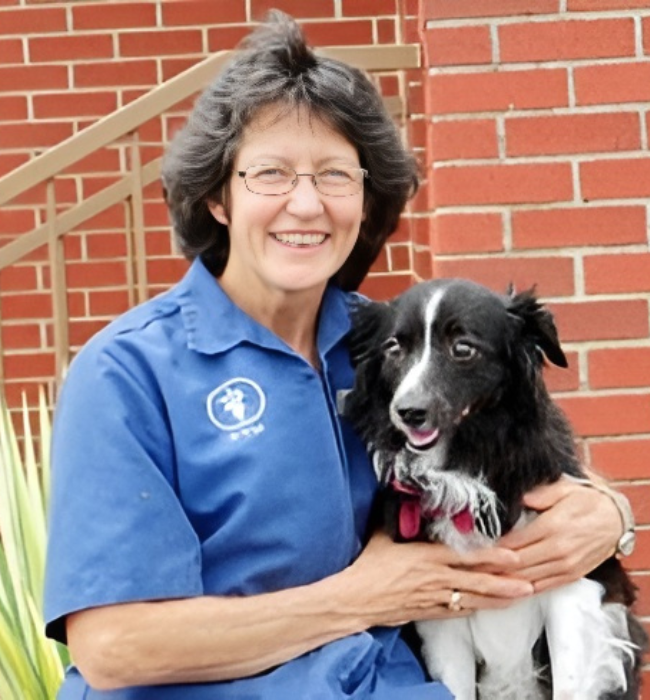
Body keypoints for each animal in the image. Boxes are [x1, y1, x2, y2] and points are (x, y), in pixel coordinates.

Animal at [344, 278, 644, 700]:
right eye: (393, 347)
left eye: (463, 348)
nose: (407, 412)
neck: (469, 460)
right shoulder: (441, 612)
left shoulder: (572, 589)